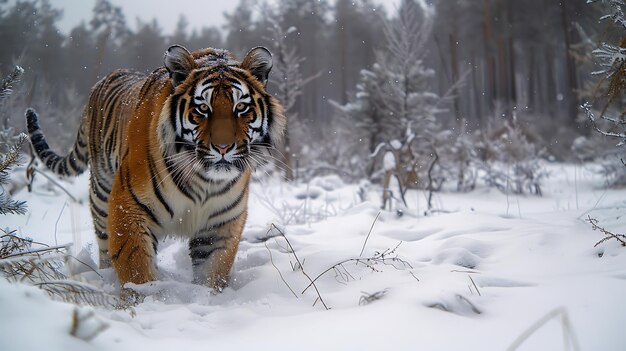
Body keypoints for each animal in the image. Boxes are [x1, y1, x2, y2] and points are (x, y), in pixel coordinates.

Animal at [25, 45, 286, 296]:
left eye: (240, 107)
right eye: (203, 108)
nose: (223, 147)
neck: (203, 180)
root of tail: (103, 80)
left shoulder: (221, 223)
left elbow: (213, 272)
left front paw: (208, 298)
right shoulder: (129, 207)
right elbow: (135, 268)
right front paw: (143, 299)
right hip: (101, 196)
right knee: (105, 248)